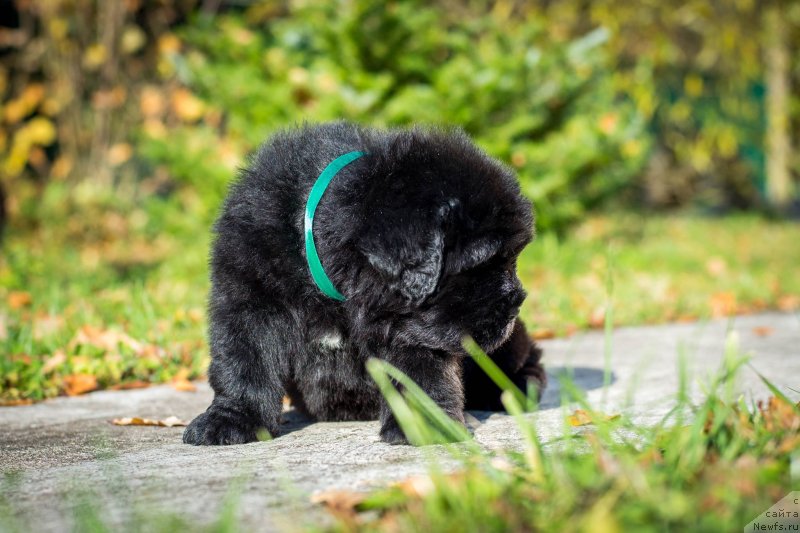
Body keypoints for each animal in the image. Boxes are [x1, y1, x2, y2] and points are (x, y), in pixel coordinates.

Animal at [183, 121, 544, 444]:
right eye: (481, 263)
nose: (515, 305)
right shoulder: (249, 296)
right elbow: (245, 361)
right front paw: (233, 419)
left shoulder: (407, 325)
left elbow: (420, 372)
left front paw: (426, 425)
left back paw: (520, 388)